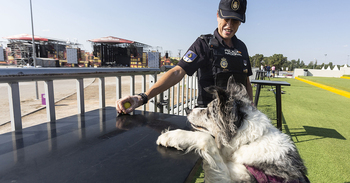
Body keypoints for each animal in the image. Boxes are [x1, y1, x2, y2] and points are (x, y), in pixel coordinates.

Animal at [157, 77, 308, 183]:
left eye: (208, 112)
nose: (188, 109)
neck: (247, 141)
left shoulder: (227, 178)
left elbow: (206, 139)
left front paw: (171, 136)